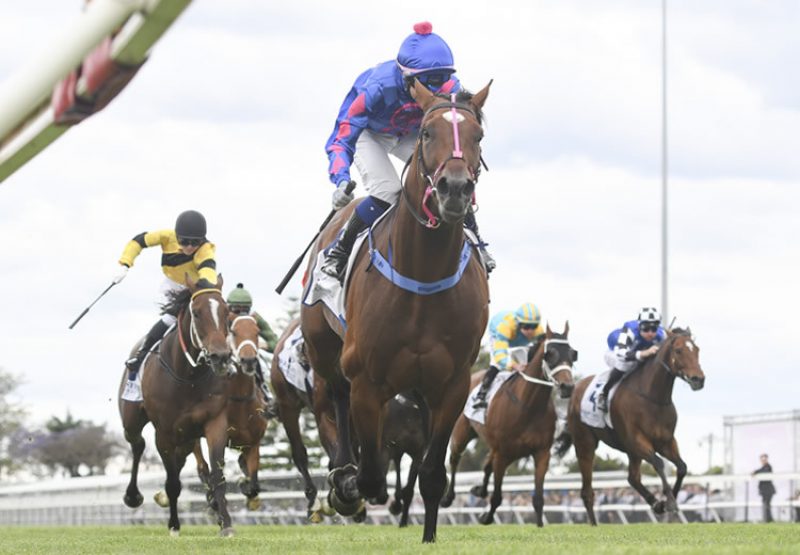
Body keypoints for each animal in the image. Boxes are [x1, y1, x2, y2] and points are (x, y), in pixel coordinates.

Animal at [117, 278, 233, 540]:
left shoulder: (215, 422)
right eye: (197, 313)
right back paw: (133, 496)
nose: (220, 356)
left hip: (187, 437)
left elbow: (217, 474)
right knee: (137, 445)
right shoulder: (164, 433)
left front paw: (226, 523)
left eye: (226, 311)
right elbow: (172, 483)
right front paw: (173, 525)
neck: (188, 376)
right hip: (132, 421)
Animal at [192, 312, 268, 512]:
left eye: (257, 331)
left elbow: (254, 483)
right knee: (201, 463)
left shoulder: (253, 443)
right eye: (233, 332)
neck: (241, 400)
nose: (248, 360)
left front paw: (245, 484)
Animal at [302, 79, 490, 544]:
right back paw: (342, 473)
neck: (424, 273)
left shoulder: (453, 384)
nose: (454, 189)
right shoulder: (368, 381)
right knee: (336, 396)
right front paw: (346, 486)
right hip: (324, 349)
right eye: (426, 133)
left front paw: (428, 536)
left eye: (478, 136)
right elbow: (371, 475)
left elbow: (432, 474)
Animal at [444, 324, 576, 528]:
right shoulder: (503, 454)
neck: (528, 406)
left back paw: (479, 490)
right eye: (551, 354)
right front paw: (486, 517)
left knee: (486, 465)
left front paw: (540, 526)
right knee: (455, 459)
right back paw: (448, 497)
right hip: (462, 434)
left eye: (572, 354)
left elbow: (538, 497)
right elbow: (497, 496)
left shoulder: (541, 453)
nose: (567, 387)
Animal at [556, 328, 708, 528]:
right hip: (585, 444)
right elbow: (658, 463)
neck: (652, 398)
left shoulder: (666, 441)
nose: (698, 379)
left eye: (697, 349)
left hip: (630, 452)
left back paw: (655, 504)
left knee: (633, 478)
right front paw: (670, 502)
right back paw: (594, 524)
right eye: (679, 351)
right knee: (587, 490)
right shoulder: (636, 440)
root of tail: (575, 390)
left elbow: (682, 467)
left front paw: (666, 502)